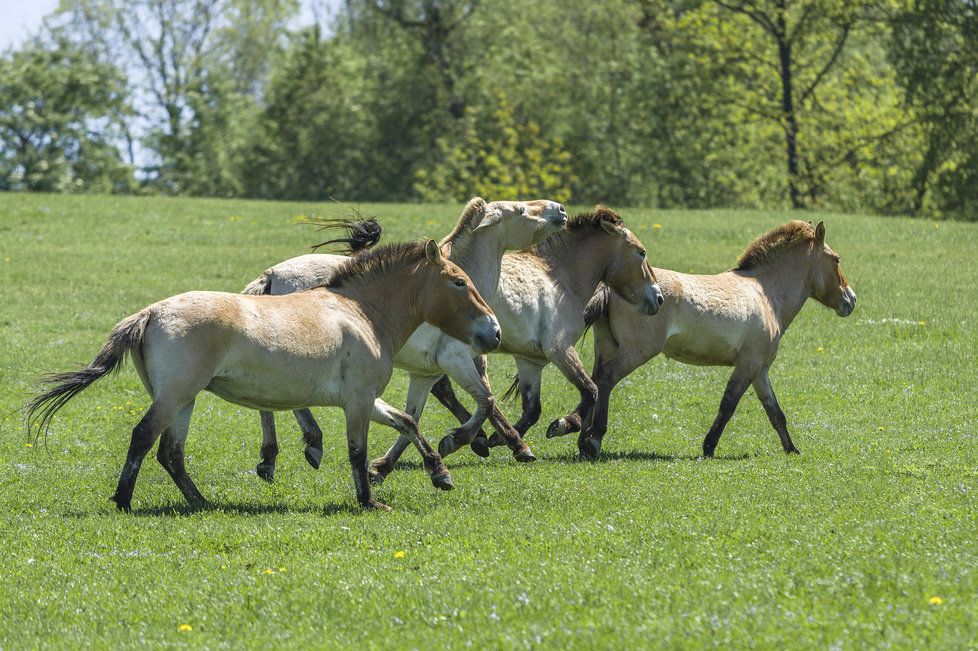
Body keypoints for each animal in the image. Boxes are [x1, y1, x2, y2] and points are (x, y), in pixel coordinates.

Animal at [26, 241, 500, 516]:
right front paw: (369, 500)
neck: (361, 312)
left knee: (171, 452)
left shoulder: (365, 399)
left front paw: (440, 473)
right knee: (144, 437)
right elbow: (358, 452)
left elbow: (407, 422)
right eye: (459, 282)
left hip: (184, 400)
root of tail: (150, 313)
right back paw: (124, 500)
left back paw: (202, 502)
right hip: (176, 396)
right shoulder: (359, 401)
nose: (493, 332)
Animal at [240, 196, 568, 482]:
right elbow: (486, 401)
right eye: (522, 210)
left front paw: (384, 468)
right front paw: (476, 441)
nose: (561, 210)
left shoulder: (427, 371)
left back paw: (273, 457)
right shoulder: (457, 360)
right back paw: (309, 443)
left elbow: (413, 416)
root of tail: (271, 274)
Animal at [428, 206, 664, 456]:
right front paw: (564, 424)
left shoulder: (531, 361)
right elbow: (590, 390)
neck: (559, 278)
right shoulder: (559, 349)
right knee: (457, 390)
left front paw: (504, 438)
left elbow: (533, 410)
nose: (658, 298)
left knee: (449, 389)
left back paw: (489, 439)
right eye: (641, 253)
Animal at [580, 222, 856, 460]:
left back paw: (582, 441)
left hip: (606, 348)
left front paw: (792, 449)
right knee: (605, 380)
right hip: (636, 352)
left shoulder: (760, 370)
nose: (851, 300)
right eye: (836, 259)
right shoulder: (748, 365)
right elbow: (728, 406)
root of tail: (609, 287)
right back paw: (593, 441)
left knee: (593, 383)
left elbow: (775, 412)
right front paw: (708, 447)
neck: (766, 292)